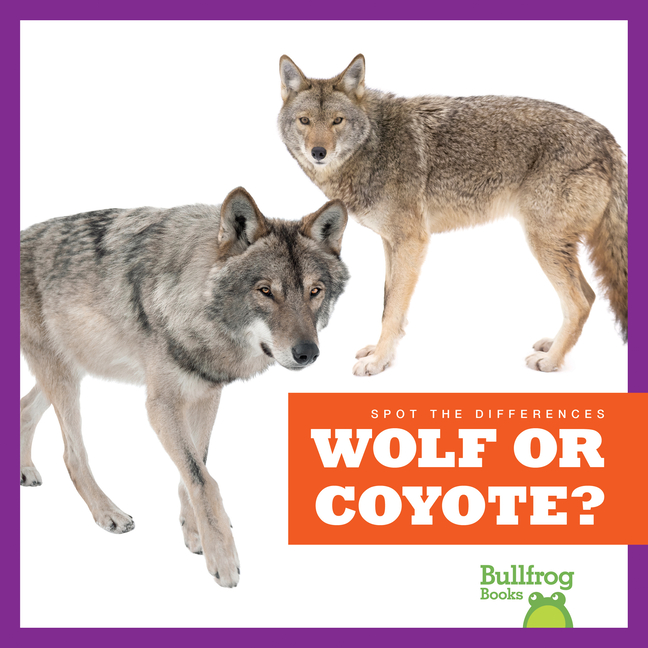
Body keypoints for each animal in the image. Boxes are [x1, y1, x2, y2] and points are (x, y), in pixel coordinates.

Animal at [20, 187, 348, 587]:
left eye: (315, 291)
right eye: (266, 291)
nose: (307, 353)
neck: (194, 303)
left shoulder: (206, 395)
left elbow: (196, 468)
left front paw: (195, 533)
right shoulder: (162, 404)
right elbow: (202, 479)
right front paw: (223, 557)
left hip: (69, 370)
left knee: (24, 409)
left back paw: (25, 471)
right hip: (64, 379)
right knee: (73, 454)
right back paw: (108, 513)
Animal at [278, 54, 628, 375]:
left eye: (337, 121)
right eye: (305, 121)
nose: (318, 153)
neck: (375, 146)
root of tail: (608, 138)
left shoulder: (412, 241)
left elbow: (392, 310)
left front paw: (378, 362)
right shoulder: (391, 243)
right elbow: (389, 305)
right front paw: (381, 354)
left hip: (543, 244)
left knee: (579, 302)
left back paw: (551, 361)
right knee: (590, 296)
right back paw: (553, 347)